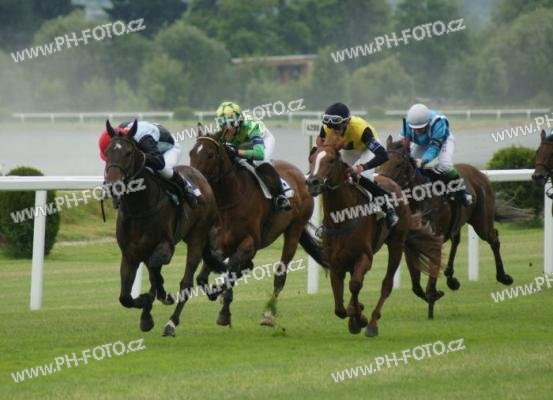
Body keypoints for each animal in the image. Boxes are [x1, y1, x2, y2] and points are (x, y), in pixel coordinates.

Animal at [103, 120, 218, 337]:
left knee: (186, 282)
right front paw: (146, 307)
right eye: (107, 152)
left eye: (128, 153)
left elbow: (156, 267)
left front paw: (157, 298)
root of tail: (202, 178)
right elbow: (125, 297)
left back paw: (171, 322)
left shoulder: (166, 245)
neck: (139, 207)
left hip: (197, 237)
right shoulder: (129, 254)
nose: (113, 186)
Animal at [189, 130, 327, 327]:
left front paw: (224, 312)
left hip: (294, 230)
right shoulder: (219, 245)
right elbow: (203, 278)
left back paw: (268, 314)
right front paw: (216, 292)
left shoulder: (249, 243)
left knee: (280, 275)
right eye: (191, 153)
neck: (230, 200)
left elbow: (233, 269)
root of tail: (302, 176)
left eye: (210, 154)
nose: (195, 182)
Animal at [306, 137, 444, 335]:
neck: (342, 218)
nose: (313, 183)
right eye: (312, 159)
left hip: (396, 244)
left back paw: (372, 324)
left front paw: (360, 319)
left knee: (387, 284)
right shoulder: (335, 263)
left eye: (331, 160)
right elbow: (339, 308)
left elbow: (355, 285)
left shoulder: (364, 257)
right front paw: (354, 313)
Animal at [379, 135, 514, 296]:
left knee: (494, 238)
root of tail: (480, 173)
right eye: (381, 163)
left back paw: (503, 276)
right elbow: (416, 285)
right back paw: (451, 278)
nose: (382, 186)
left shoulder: (435, 237)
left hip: (482, 222)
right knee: (456, 240)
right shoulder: (409, 243)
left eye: (398, 164)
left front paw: (432, 292)